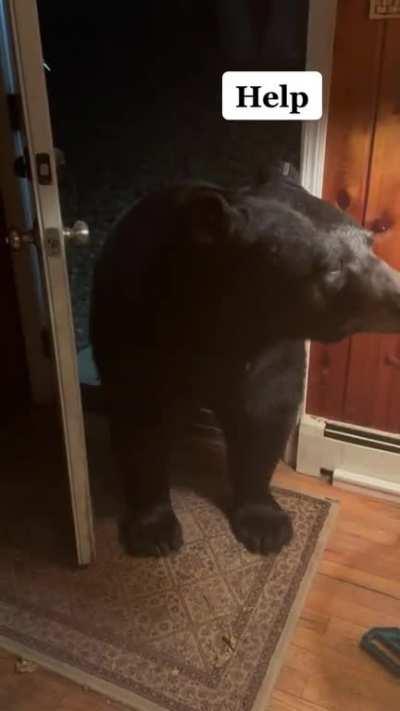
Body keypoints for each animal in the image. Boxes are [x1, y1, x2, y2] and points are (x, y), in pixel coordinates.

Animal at [90, 164, 400, 557]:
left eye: (369, 241)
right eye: (332, 267)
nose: (398, 295)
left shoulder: (271, 350)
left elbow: (264, 415)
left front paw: (265, 524)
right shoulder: (135, 325)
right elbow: (142, 416)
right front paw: (154, 530)